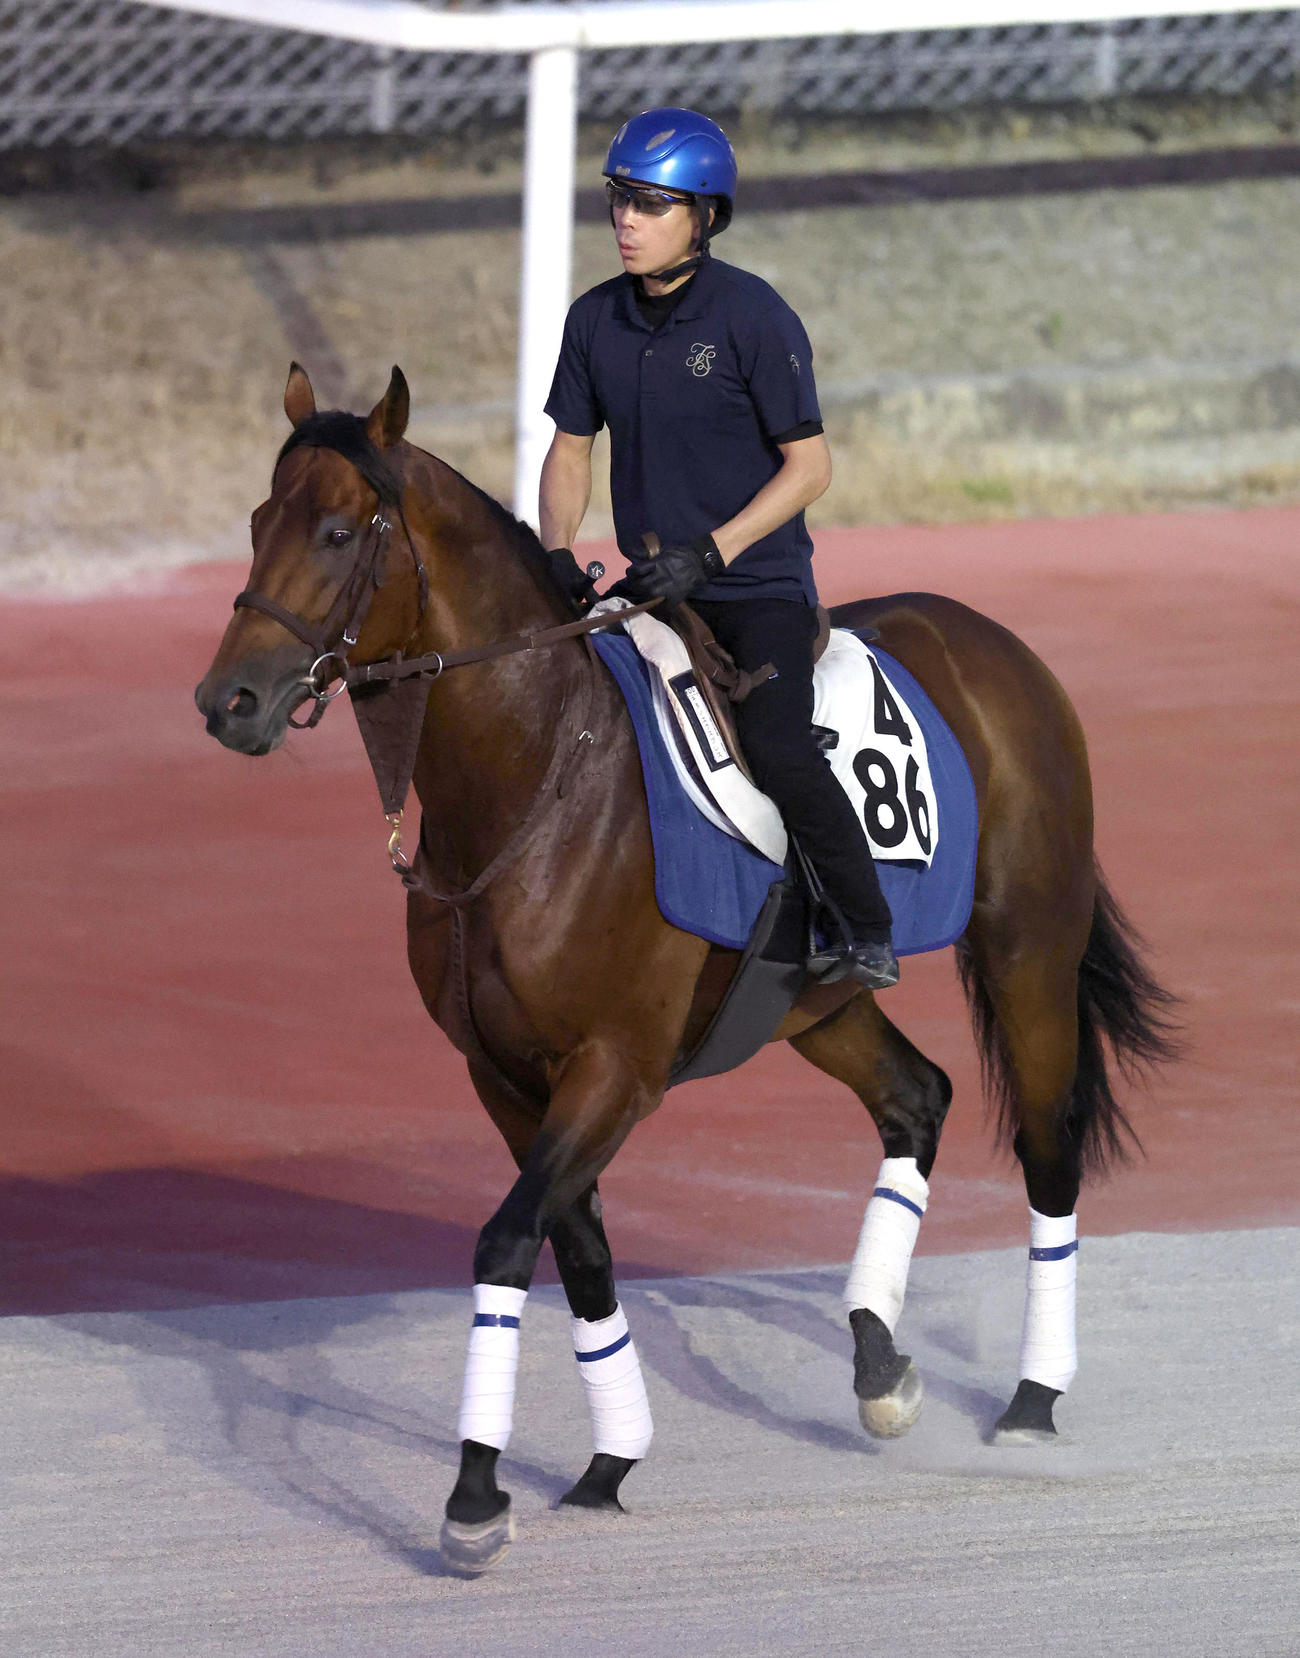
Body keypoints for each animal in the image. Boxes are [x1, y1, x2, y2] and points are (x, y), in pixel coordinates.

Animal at [196, 365, 1178, 1574]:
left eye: (337, 531)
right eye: (256, 523)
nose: (228, 701)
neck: (539, 778)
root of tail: (993, 644)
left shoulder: (615, 1068)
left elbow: (507, 1240)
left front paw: (474, 1495)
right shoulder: (503, 1075)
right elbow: (579, 1251)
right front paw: (609, 1460)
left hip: (1026, 948)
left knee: (1047, 1145)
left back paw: (1033, 1398)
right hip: (816, 1001)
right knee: (918, 1097)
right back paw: (876, 1357)